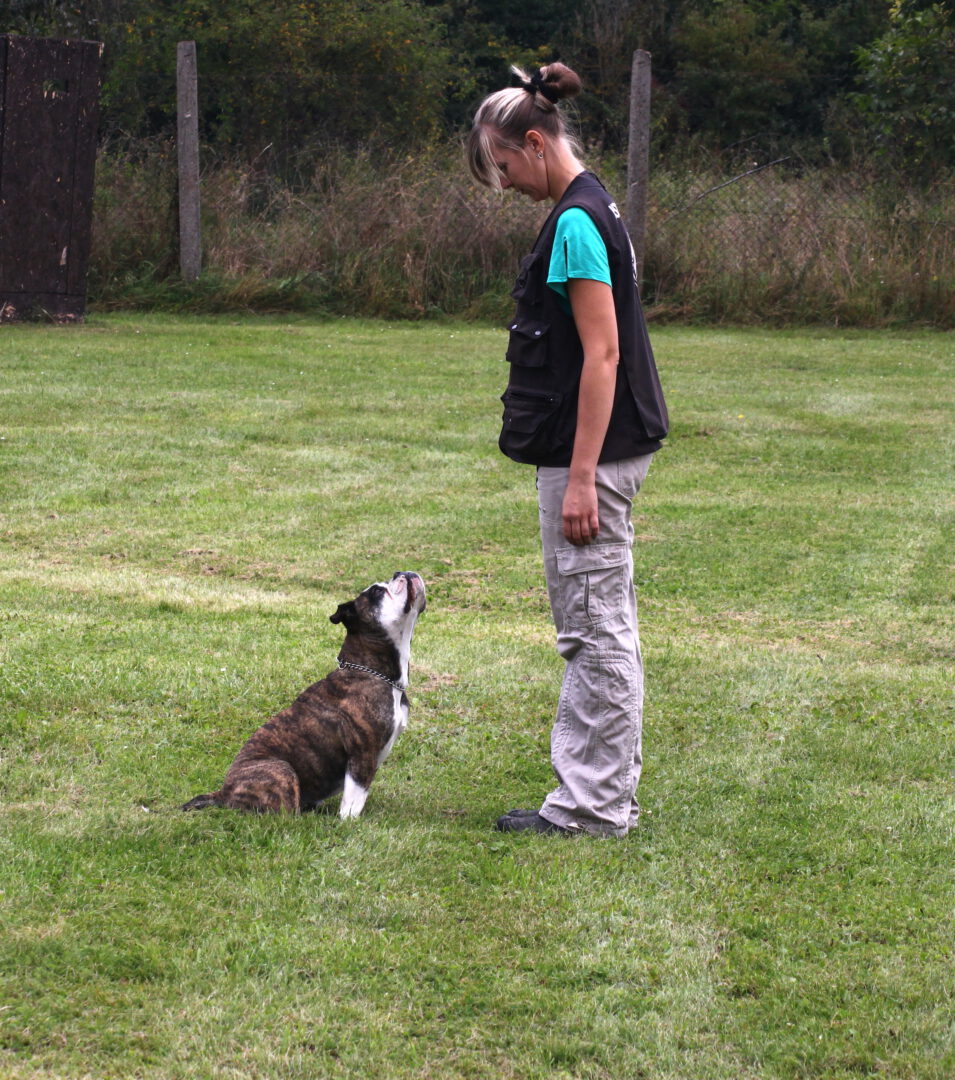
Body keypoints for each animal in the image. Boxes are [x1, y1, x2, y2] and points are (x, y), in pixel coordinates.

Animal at [182, 571, 426, 817]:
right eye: (377, 591)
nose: (402, 573)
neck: (374, 672)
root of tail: (223, 793)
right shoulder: (362, 754)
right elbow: (354, 798)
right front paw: (349, 822)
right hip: (281, 770)